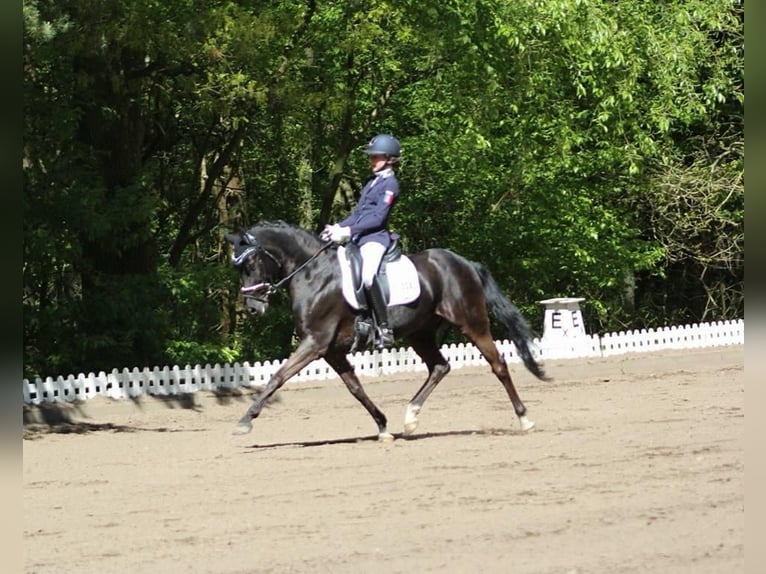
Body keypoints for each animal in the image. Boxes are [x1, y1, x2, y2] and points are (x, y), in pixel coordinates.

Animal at [225, 220, 548, 440]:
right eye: (238, 267)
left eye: (251, 262)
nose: (253, 308)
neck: (313, 274)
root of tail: (464, 263)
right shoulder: (331, 351)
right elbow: (355, 388)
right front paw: (382, 426)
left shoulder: (315, 343)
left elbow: (277, 377)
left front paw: (245, 420)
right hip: (420, 333)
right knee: (439, 366)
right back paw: (411, 417)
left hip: (472, 323)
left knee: (498, 364)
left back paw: (525, 419)